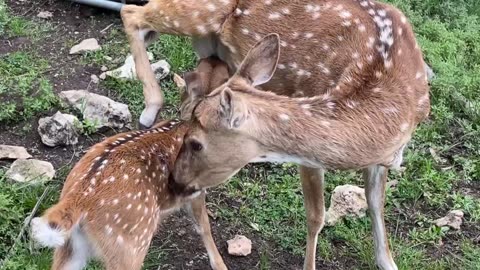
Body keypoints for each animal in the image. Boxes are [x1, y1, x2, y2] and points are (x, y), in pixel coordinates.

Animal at [172, 33, 428, 270]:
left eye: (195, 143)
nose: (175, 177)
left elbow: (375, 203)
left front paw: (388, 262)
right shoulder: (309, 157)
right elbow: (316, 217)